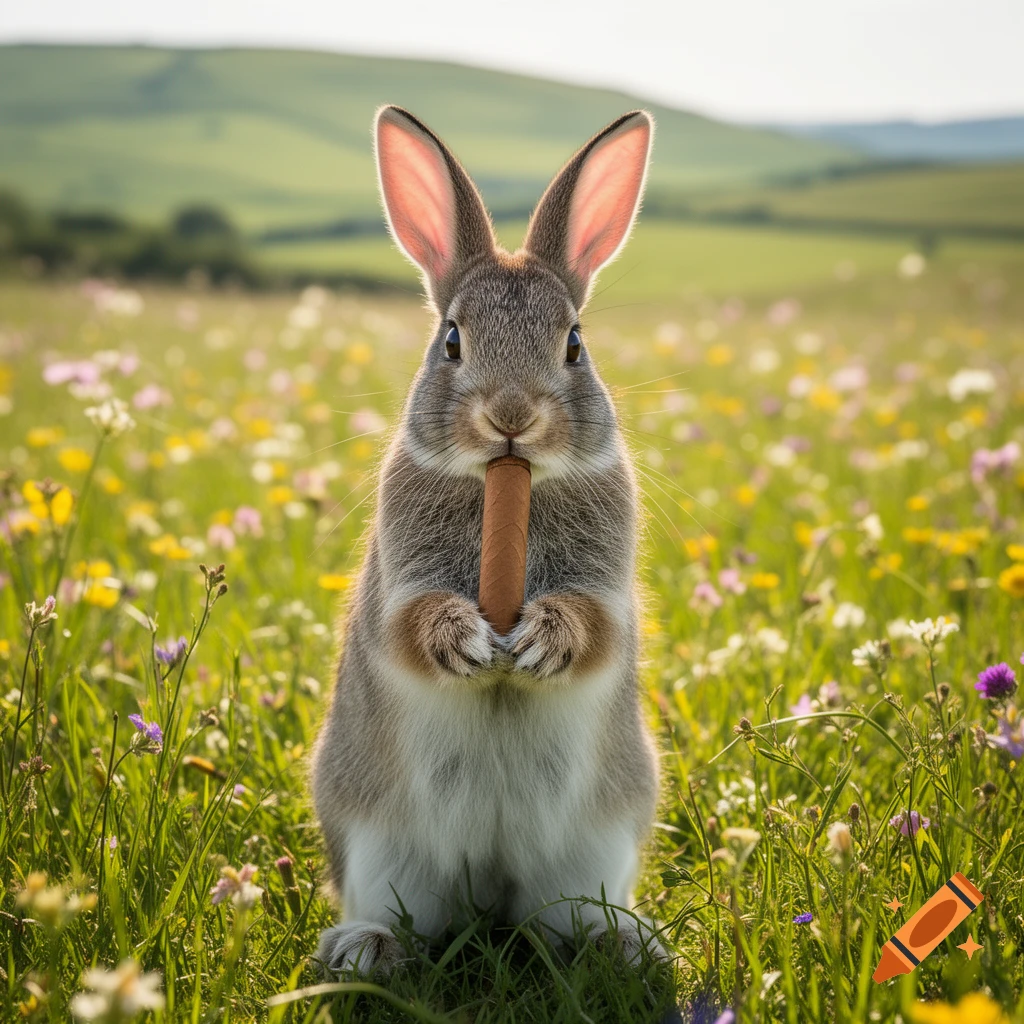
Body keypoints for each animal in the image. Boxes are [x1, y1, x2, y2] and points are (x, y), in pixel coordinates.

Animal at [310, 104, 662, 977]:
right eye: (451, 341)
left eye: (574, 343)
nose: (511, 417)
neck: (506, 482)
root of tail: (492, 890)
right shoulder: (400, 579)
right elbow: (409, 624)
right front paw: (469, 643)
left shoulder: (606, 585)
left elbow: (595, 626)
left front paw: (536, 642)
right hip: (380, 845)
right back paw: (364, 950)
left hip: (596, 846)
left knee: (562, 920)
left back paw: (623, 944)